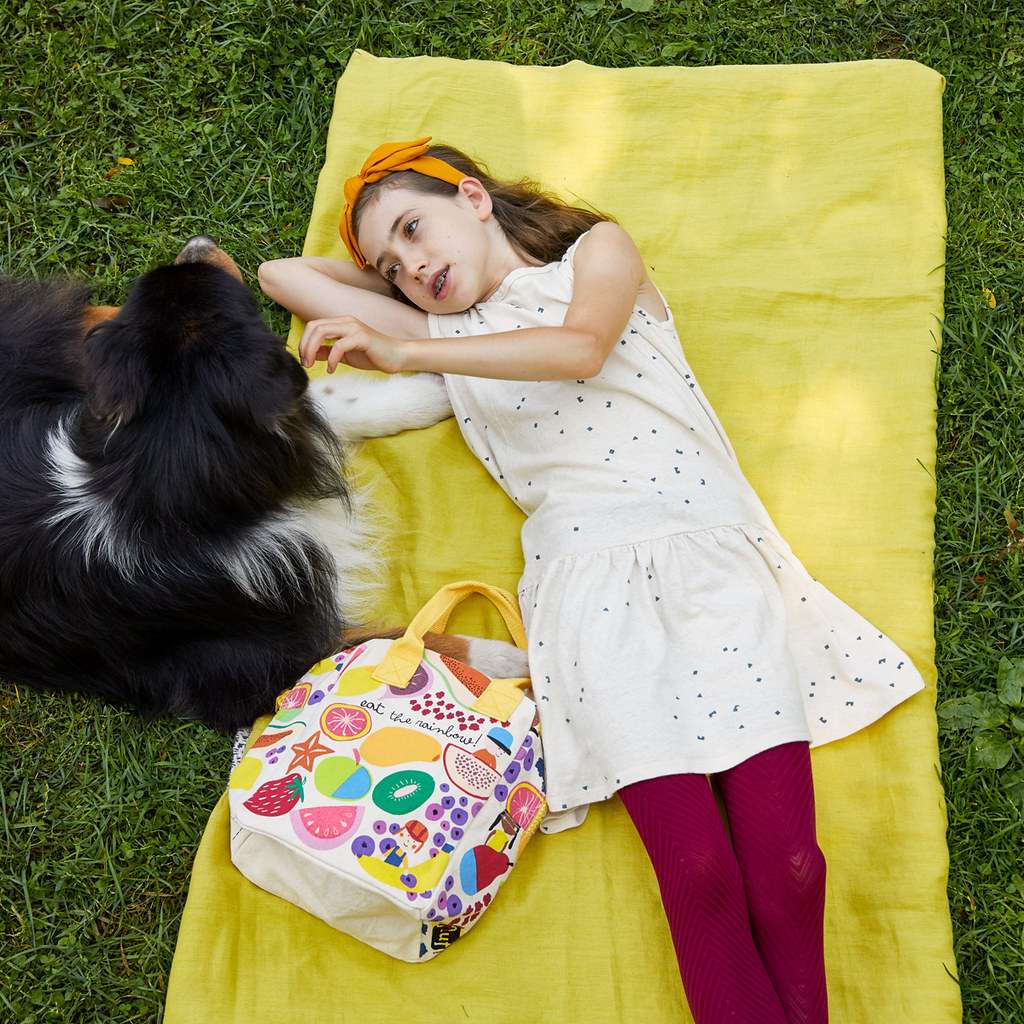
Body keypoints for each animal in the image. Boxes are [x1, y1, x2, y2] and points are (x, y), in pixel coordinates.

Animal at [0, 235, 520, 733]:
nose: (198, 241)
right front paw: (505, 661)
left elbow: (336, 401)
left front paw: (436, 387)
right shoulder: (256, 663)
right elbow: (398, 638)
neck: (173, 485)